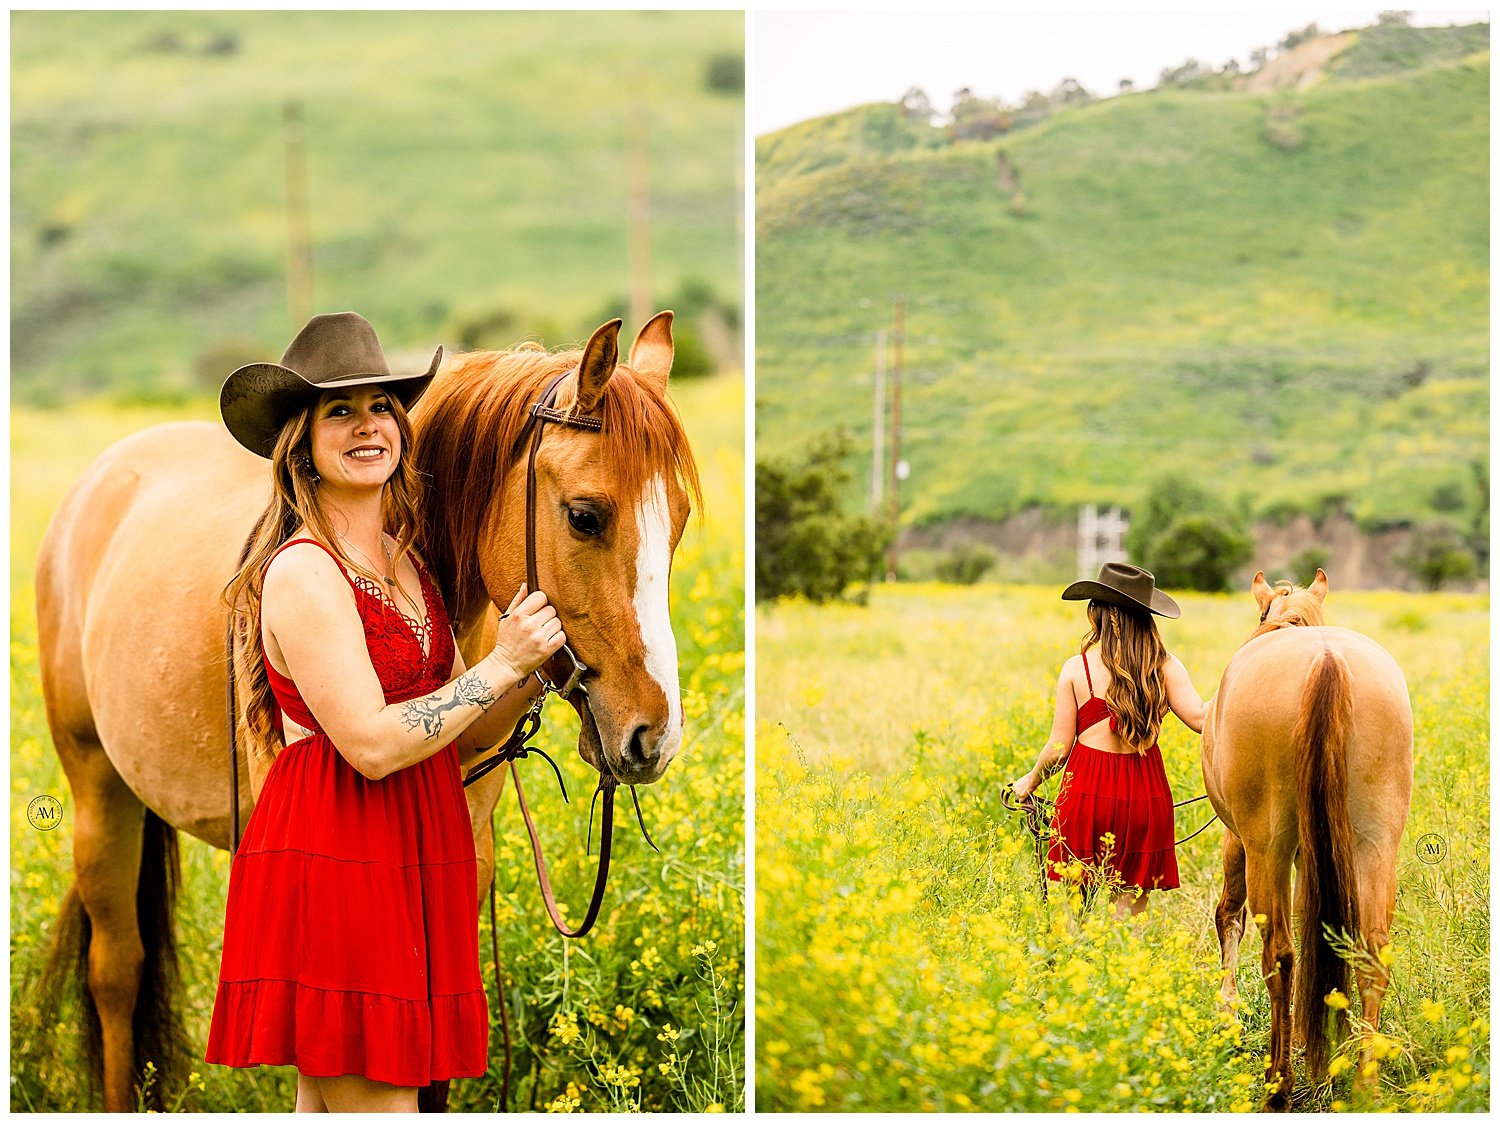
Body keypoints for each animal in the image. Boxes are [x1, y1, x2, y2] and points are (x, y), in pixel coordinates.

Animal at [1200, 563, 1410, 1109]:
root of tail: (1326, 659)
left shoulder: (1239, 840)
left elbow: (1228, 916)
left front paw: (1228, 1013)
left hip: (1267, 849)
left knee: (1279, 952)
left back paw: (1278, 1085)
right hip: (1375, 846)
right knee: (1371, 952)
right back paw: (1363, 1084)